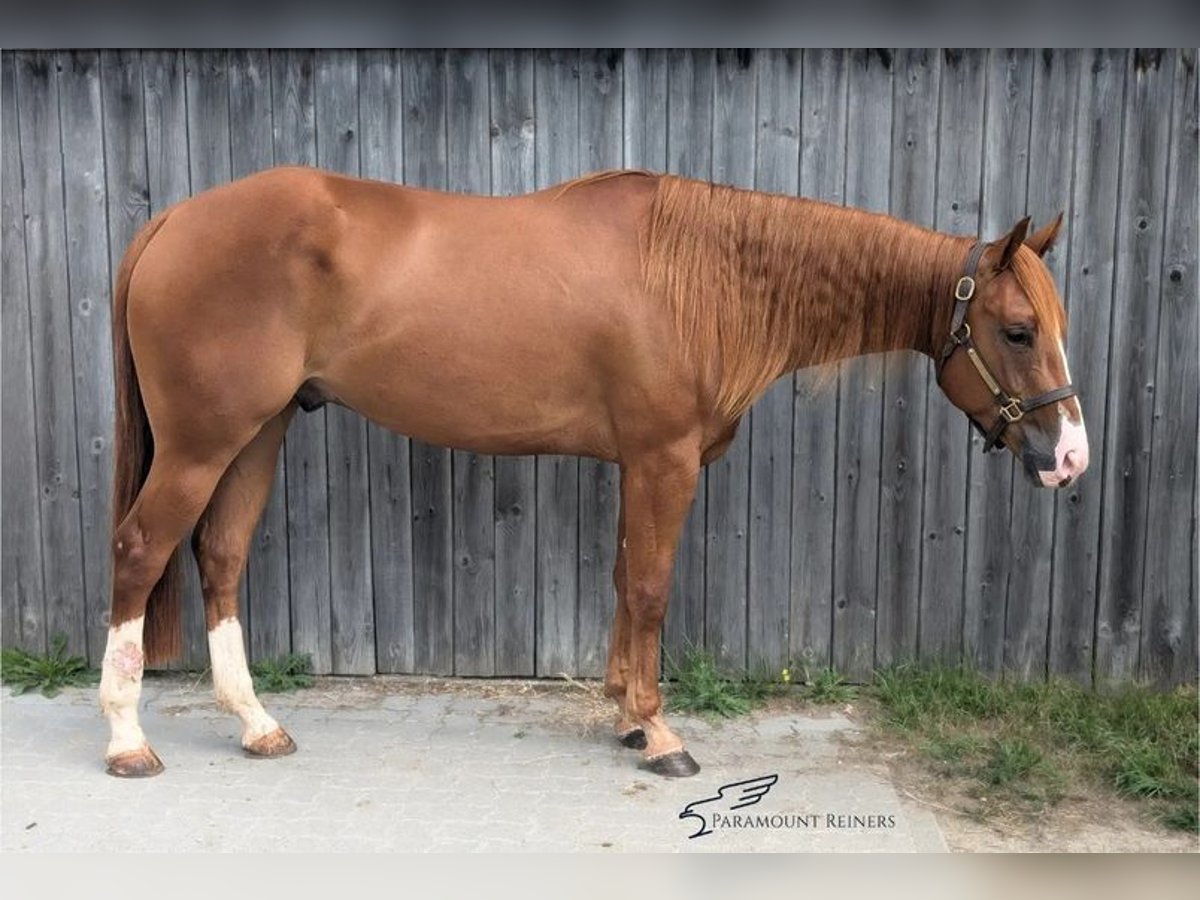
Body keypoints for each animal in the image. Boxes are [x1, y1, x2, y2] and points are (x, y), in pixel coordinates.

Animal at [96, 165, 1089, 777]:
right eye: (1016, 330)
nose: (1070, 457)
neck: (701, 281)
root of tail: (174, 220)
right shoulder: (663, 459)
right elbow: (648, 588)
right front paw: (659, 732)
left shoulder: (638, 465)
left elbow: (622, 581)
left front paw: (624, 715)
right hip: (201, 442)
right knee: (141, 550)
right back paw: (127, 740)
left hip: (256, 433)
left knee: (220, 555)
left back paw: (257, 725)